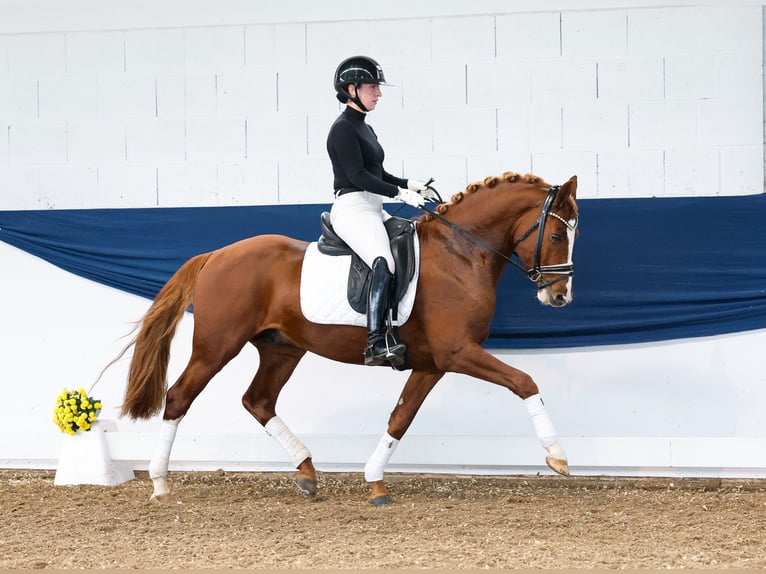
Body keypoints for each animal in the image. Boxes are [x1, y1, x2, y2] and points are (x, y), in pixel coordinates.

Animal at [120, 172, 580, 508]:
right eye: (558, 236)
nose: (560, 297)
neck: (461, 252)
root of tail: (214, 255)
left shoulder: (433, 363)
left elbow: (400, 418)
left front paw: (376, 482)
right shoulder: (457, 353)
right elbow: (524, 382)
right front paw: (557, 457)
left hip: (282, 349)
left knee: (258, 400)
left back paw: (307, 472)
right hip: (217, 347)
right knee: (179, 397)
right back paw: (160, 484)